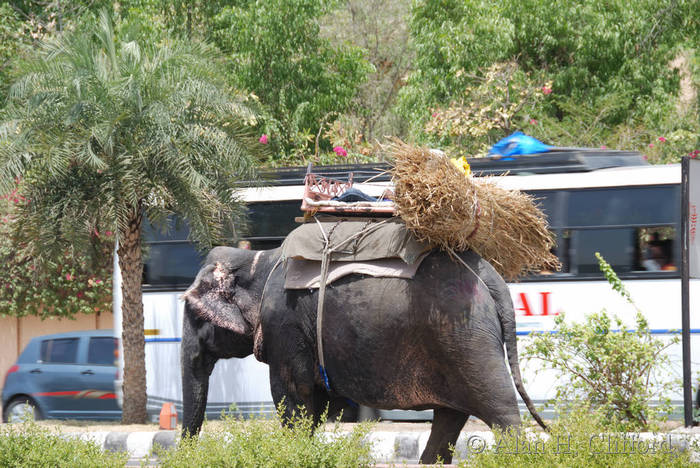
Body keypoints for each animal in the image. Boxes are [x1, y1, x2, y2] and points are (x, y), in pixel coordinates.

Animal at [180, 245, 548, 464]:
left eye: (195, 314)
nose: (188, 453)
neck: (259, 260)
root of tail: (492, 277)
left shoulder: (285, 327)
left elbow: (297, 402)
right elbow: (314, 406)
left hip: (467, 339)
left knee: (501, 413)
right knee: (449, 419)